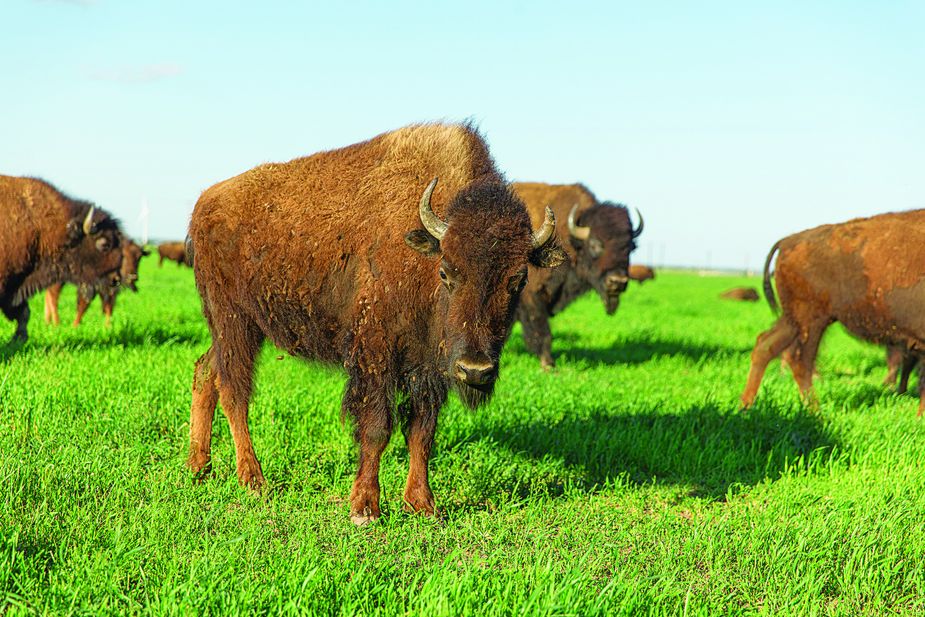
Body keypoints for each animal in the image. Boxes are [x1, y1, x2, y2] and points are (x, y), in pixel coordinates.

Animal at [186, 122, 564, 524]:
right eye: (447, 272)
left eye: (518, 280)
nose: (475, 370)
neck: (422, 255)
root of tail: (205, 202)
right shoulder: (375, 357)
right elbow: (377, 428)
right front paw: (365, 506)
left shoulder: (428, 369)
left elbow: (421, 432)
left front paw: (422, 504)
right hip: (235, 321)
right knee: (234, 391)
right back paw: (253, 479)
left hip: (238, 328)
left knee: (205, 372)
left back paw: (198, 468)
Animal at [508, 180, 640, 368]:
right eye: (594, 244)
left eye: (630, 247)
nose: (617, 281)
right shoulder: (532, 297)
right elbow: (542, 331)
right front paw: (549, 364)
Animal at [740, 209, 924, 416]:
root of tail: (789, 241)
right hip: (811, 321)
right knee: (800, 361)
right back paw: (815, 413)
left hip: (795, 320)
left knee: (766, 346)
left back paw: (745, 408)